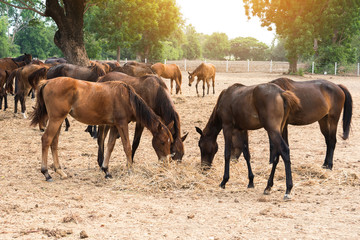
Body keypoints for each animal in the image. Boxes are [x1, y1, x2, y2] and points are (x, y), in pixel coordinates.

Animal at [29, 78, 173, 181]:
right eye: (162, 142)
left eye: (170, 142)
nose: (167, 163)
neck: (127, 97)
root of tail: (47, 82)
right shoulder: (122, 124)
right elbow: (127, 146)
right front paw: (130, 169)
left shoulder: (115, 126)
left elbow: (110, 146)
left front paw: (106, 170)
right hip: (56, 119)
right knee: (46, 139)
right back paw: (46, 173)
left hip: (58, 120)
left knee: (54, 143)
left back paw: (60, 171)